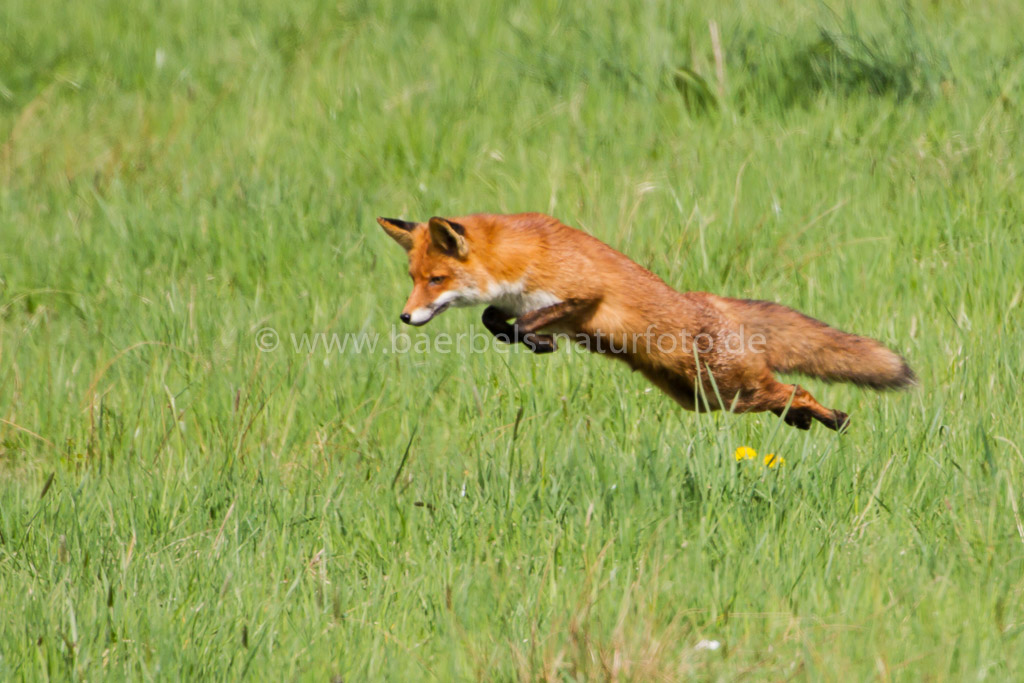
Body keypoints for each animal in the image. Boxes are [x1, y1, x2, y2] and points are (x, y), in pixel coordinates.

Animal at [374, 211, 913, 432]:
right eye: (414, 278)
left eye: (437, 279)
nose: (405, 315)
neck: (522, 258)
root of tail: (710, 301)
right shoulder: (515, 302)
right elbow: (492, 317)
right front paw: (526, 340)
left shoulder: (585, 295)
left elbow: (529, 323)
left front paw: (537, 342)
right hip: (710, 400)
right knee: (783, 397)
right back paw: (802, 420)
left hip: (727, 385)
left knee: (796, 388)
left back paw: (832, 418)